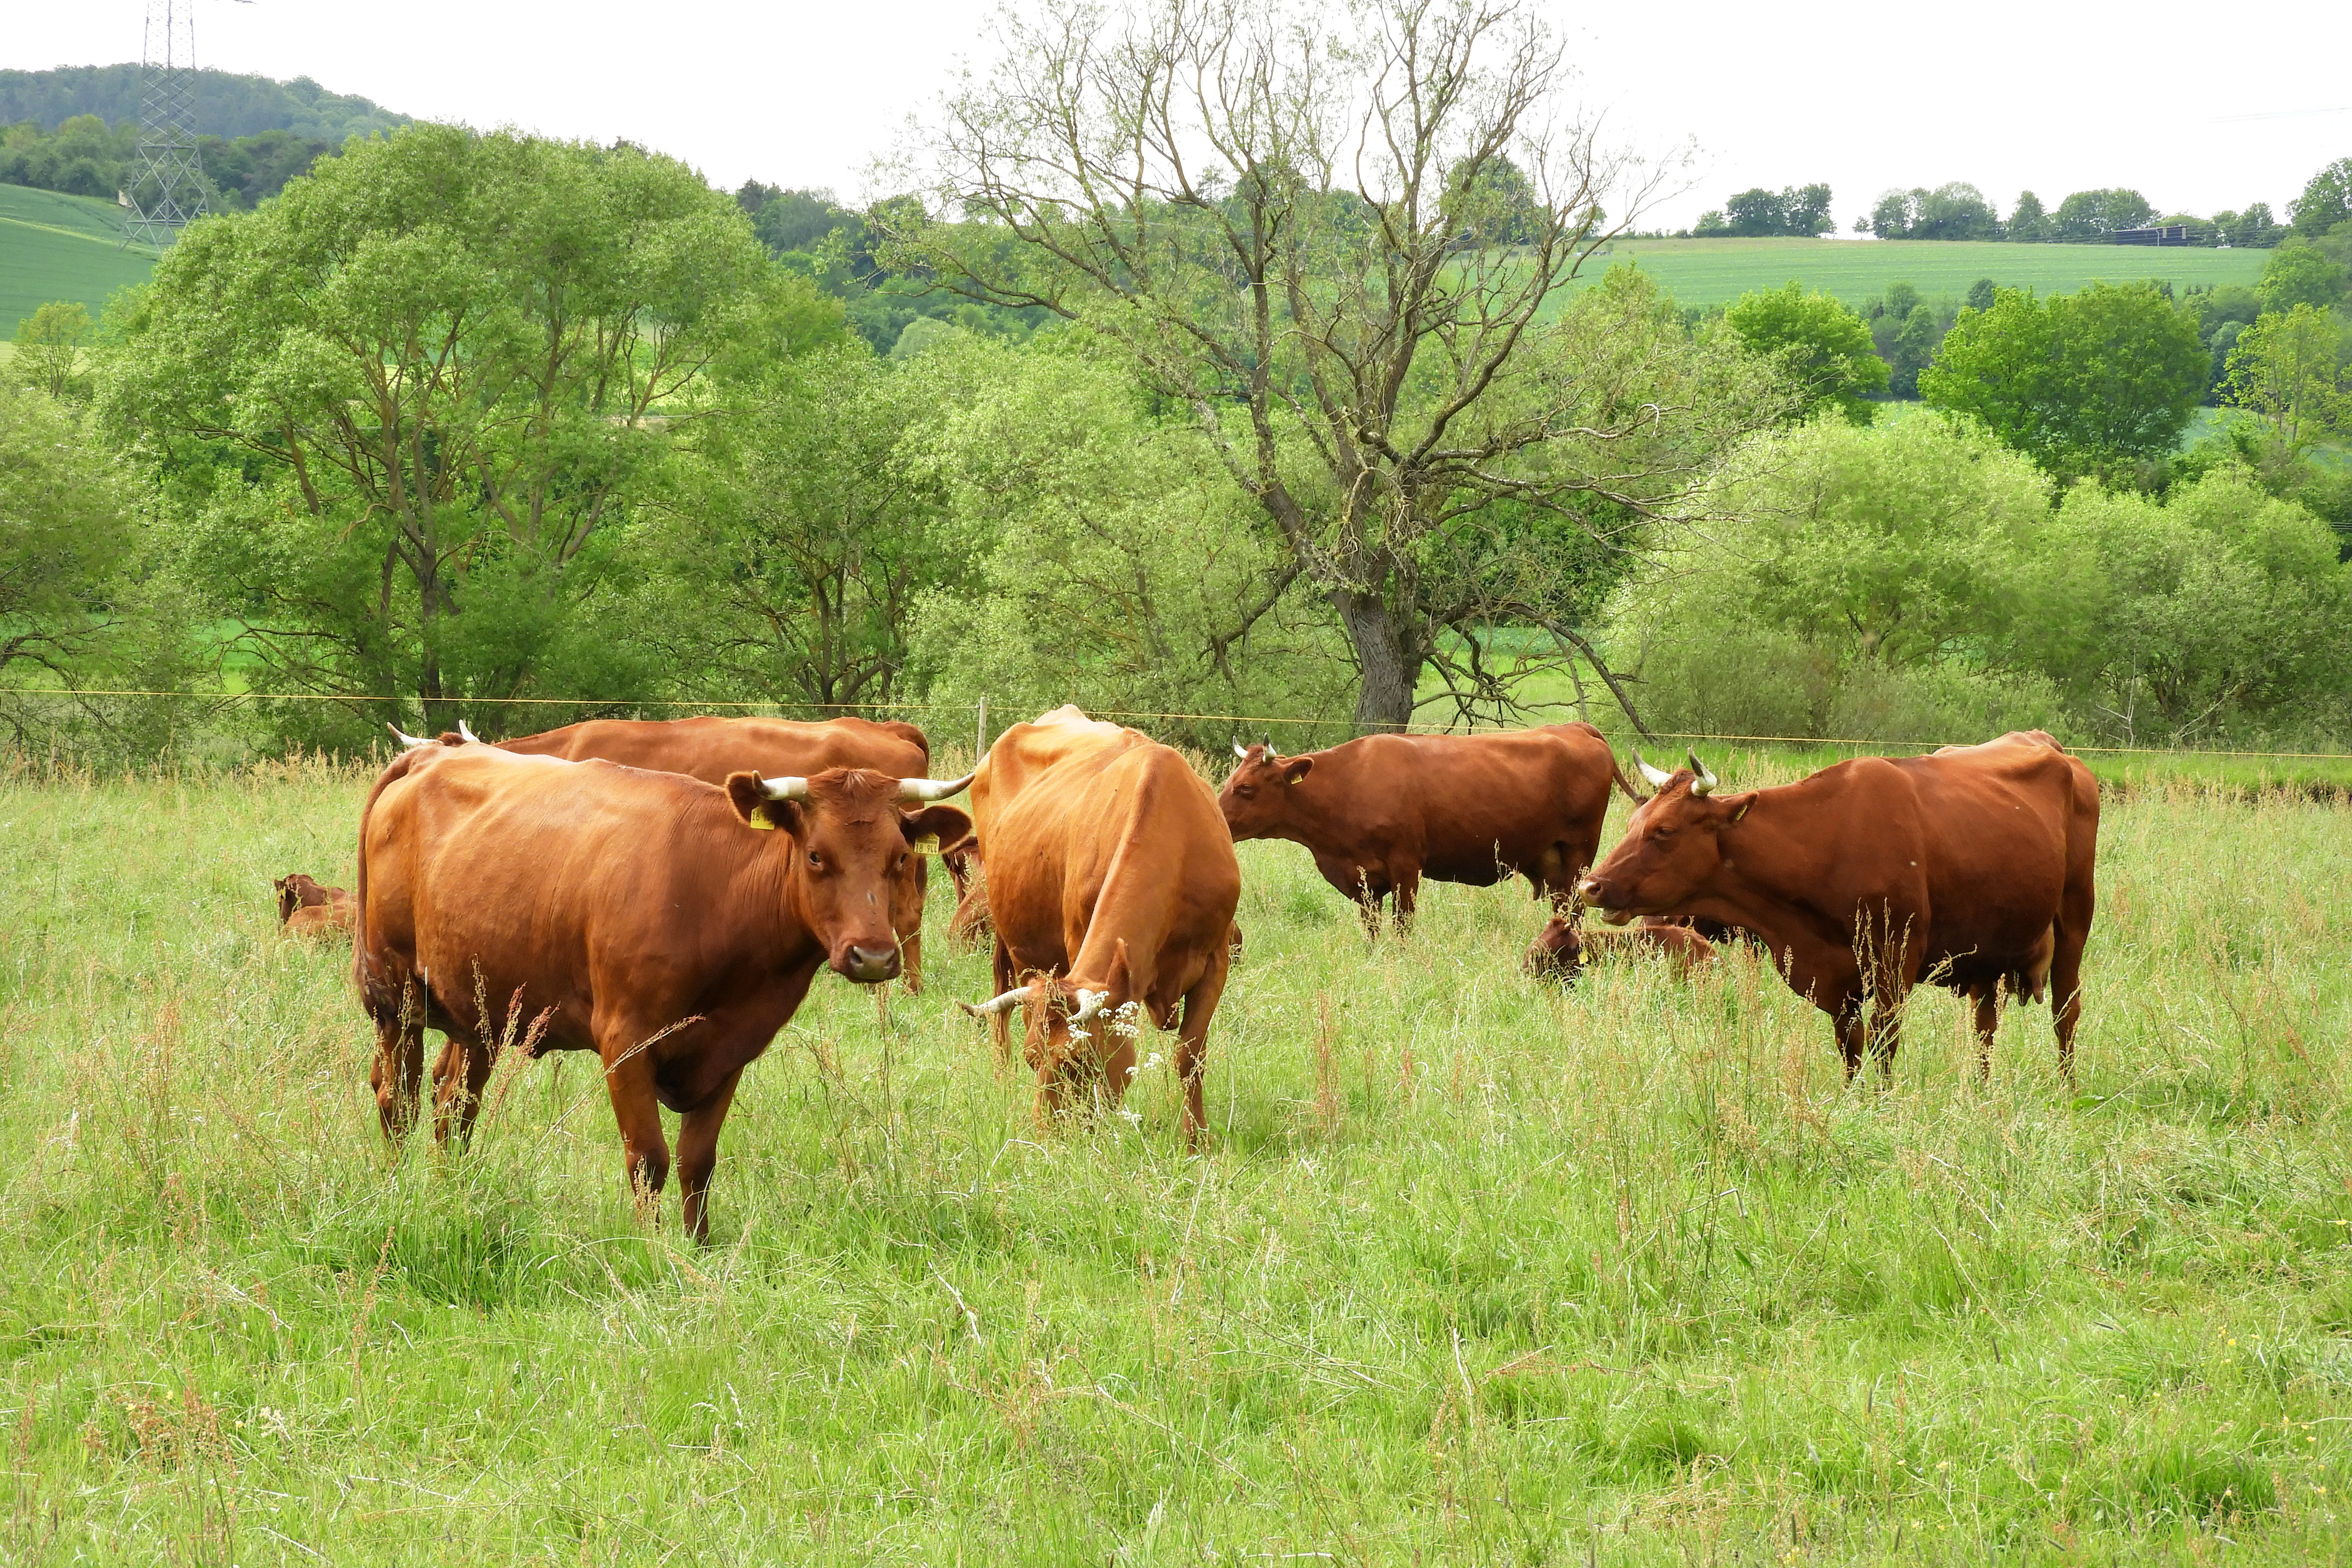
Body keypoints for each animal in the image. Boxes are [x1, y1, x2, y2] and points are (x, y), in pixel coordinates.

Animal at [955, 706, 1241, 1143]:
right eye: (1033, 1059)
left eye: (1078, 1060)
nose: (1043, 1135)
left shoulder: (1216, 961)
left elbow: (1189, 1057)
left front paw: (1196, 1141)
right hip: (1017, 946)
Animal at [1218, 724, 1639, 937]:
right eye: (1230, 780)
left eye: (1246, 788)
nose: (1216, 818)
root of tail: (1576, 728)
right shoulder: (1364, 880)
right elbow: (1372, 929)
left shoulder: (1406, 866)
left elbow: (1403, 924)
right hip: (1553, 860)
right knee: (1563, 906)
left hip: (1580, 851)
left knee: (1575, 908)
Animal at [1576, 735, 2098, 1080]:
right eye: (1635, 822)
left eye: (1664, 831)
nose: (1591, 886)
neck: (1826, 843)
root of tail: (2054, 748)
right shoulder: (1834, 981)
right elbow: (1852, 1049)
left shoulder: (1894, 962)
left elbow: (1885, 1044)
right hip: (1988, 953)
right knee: (1984, 1026)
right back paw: (1981, 1094)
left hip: (2074, 916)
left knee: (2065, 1011)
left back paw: (2066, 1091)